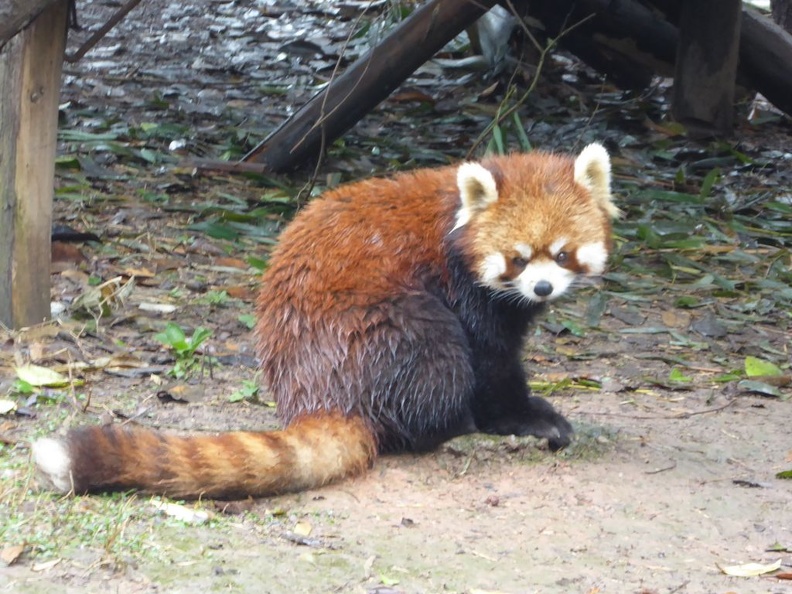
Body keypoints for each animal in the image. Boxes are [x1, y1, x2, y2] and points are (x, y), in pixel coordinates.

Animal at [32, 143, 620, 500]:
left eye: (562, 254)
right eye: (517, 259)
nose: (542, 288)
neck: (456, 219)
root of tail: (317, 393)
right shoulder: (464, 288)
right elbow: (493, 364)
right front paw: (529, 419)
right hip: (389, 326)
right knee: (434, 362)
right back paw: (454, 427)